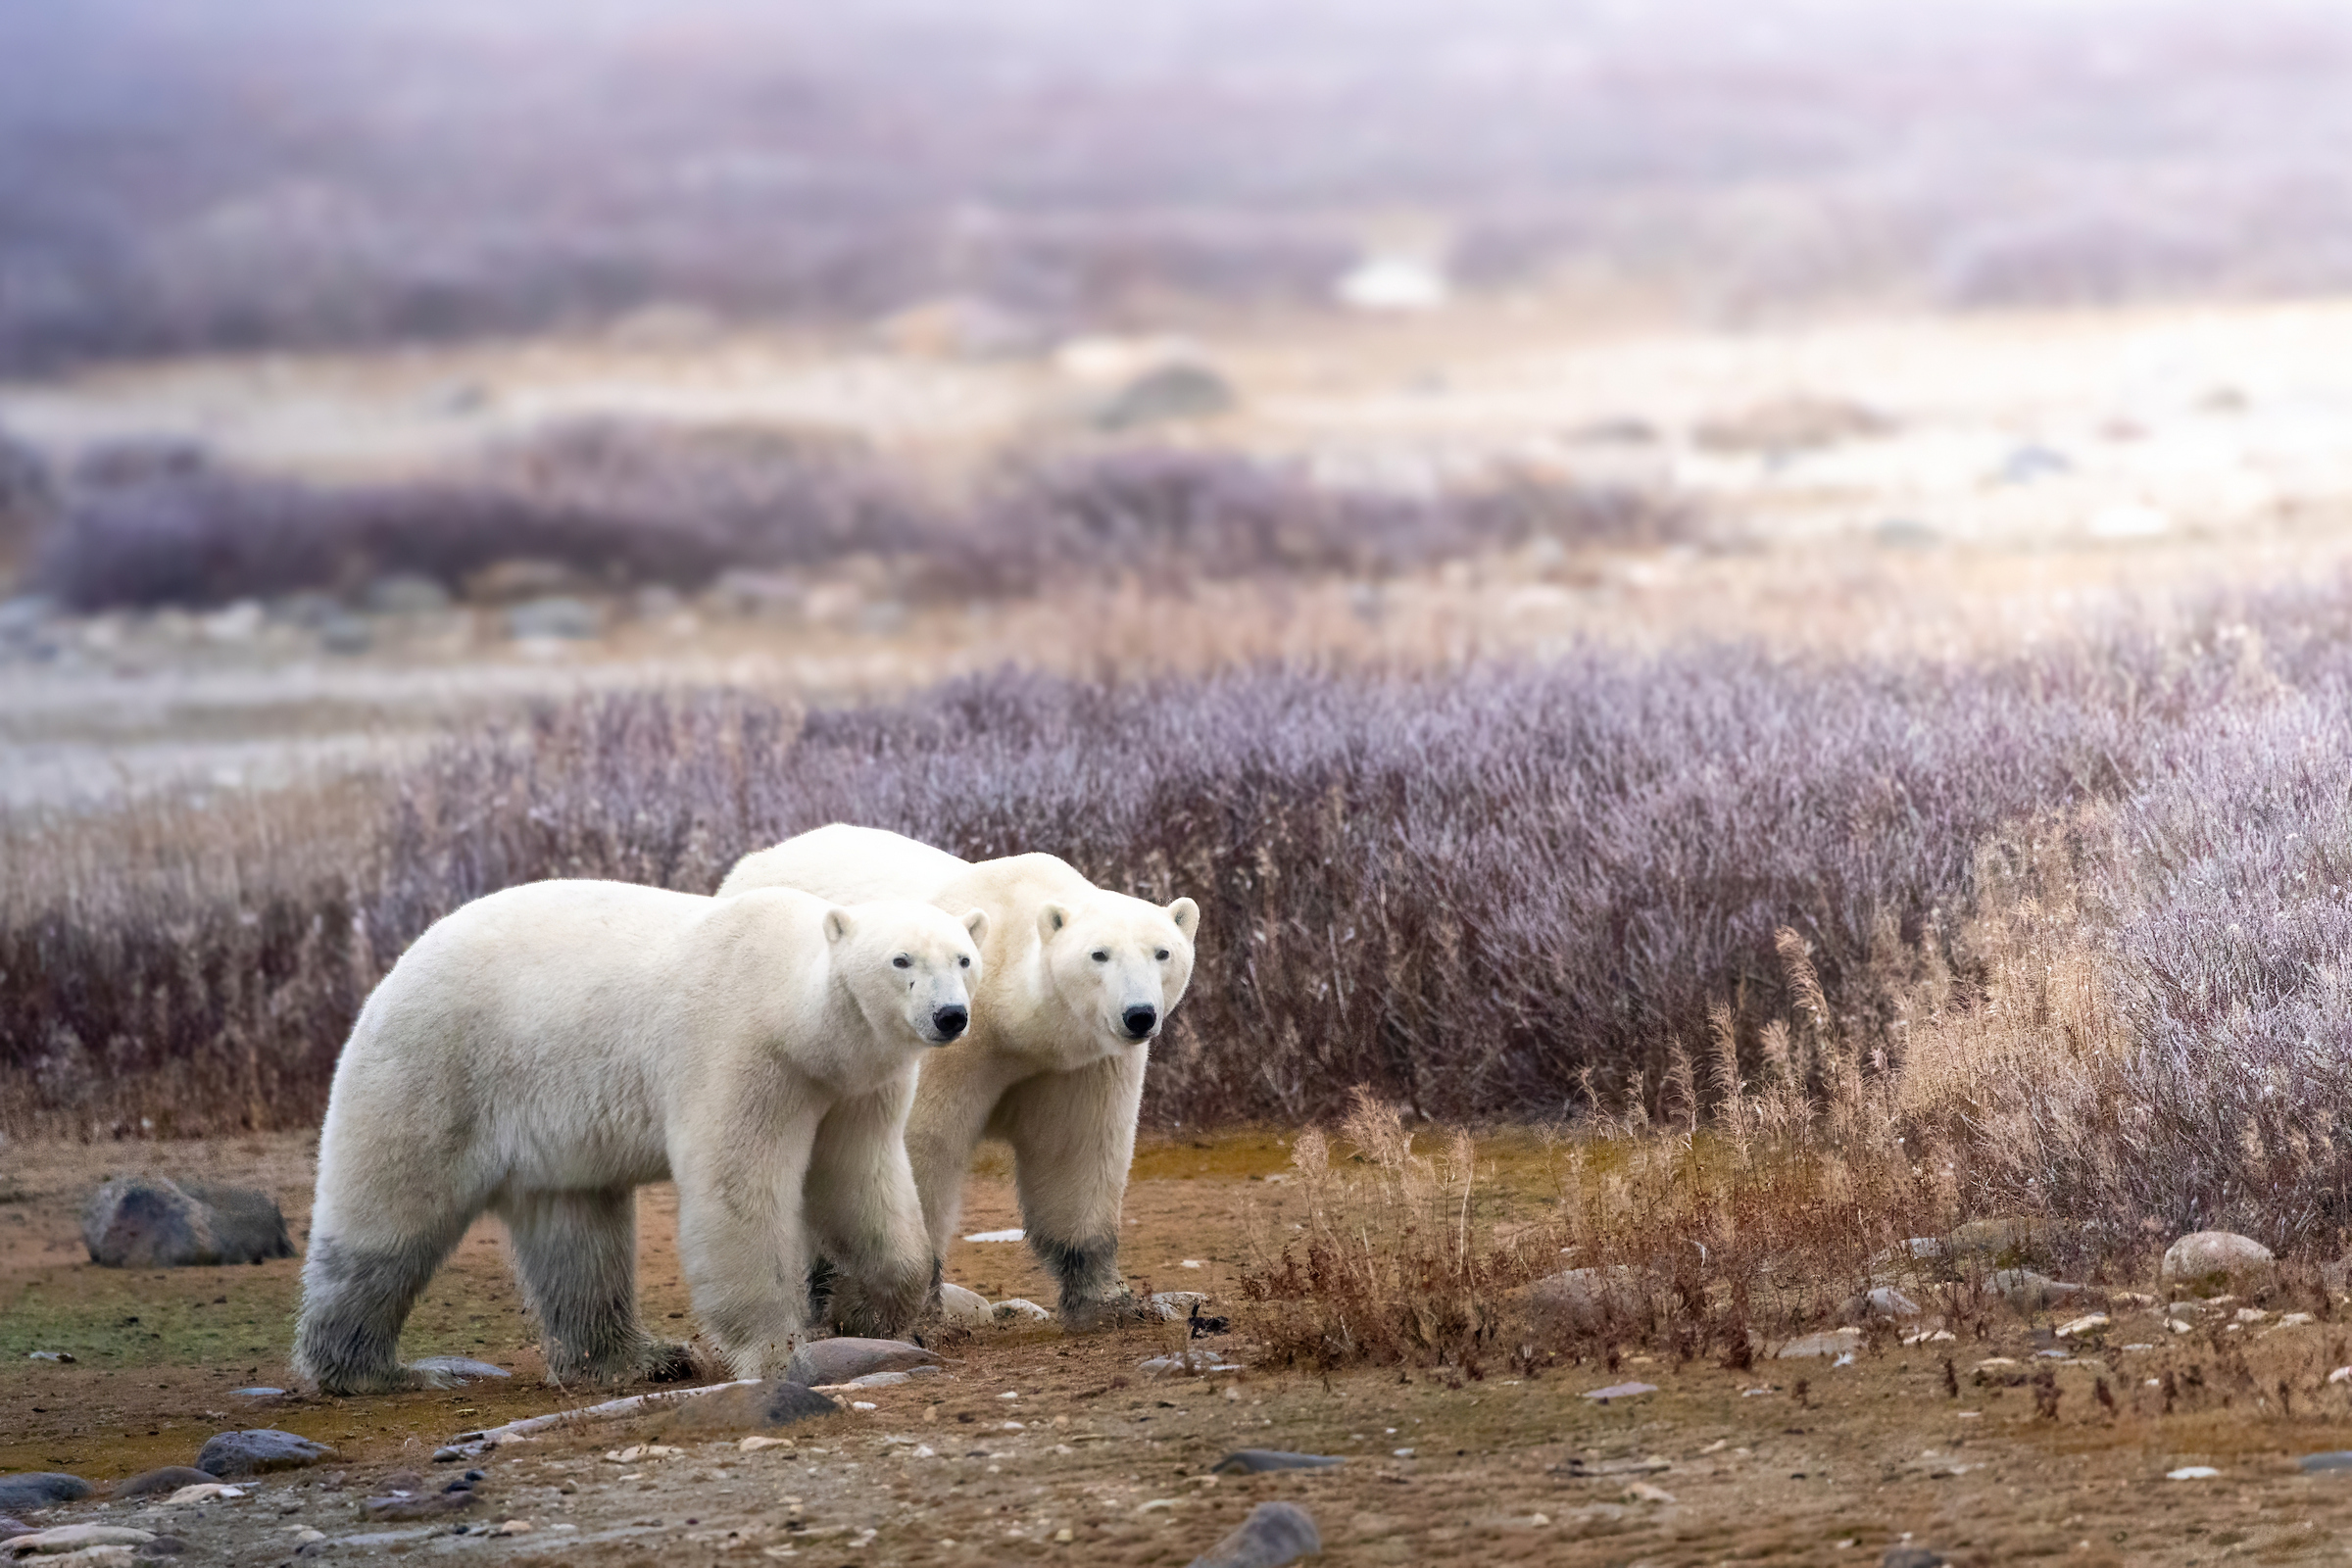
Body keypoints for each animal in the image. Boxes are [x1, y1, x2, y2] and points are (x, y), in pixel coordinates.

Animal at [291, 878, 986, 1395]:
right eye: (901, 960)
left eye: (964, 958)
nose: (950, 1016)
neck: (791, 1006)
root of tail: (394, 971)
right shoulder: (741, 1053)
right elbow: (736, 1192)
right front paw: (778, 1356)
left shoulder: (853, 1085)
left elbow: (859, 1180)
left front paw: (885, 1317)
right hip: (436, 1070)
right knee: (390, 1216)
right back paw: (371, 1370)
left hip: (547, 1121)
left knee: (577, 1238)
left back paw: (638, 1358)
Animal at [717, 825, 1199, 1326]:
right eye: (1098, 954)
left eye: (1163, 952)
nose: (1139, 1015)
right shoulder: (950, 1041)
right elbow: (922, 1145)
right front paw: (894, 1310)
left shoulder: (1078, 1064)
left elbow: (1078, 1147)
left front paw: (1108, 1301)